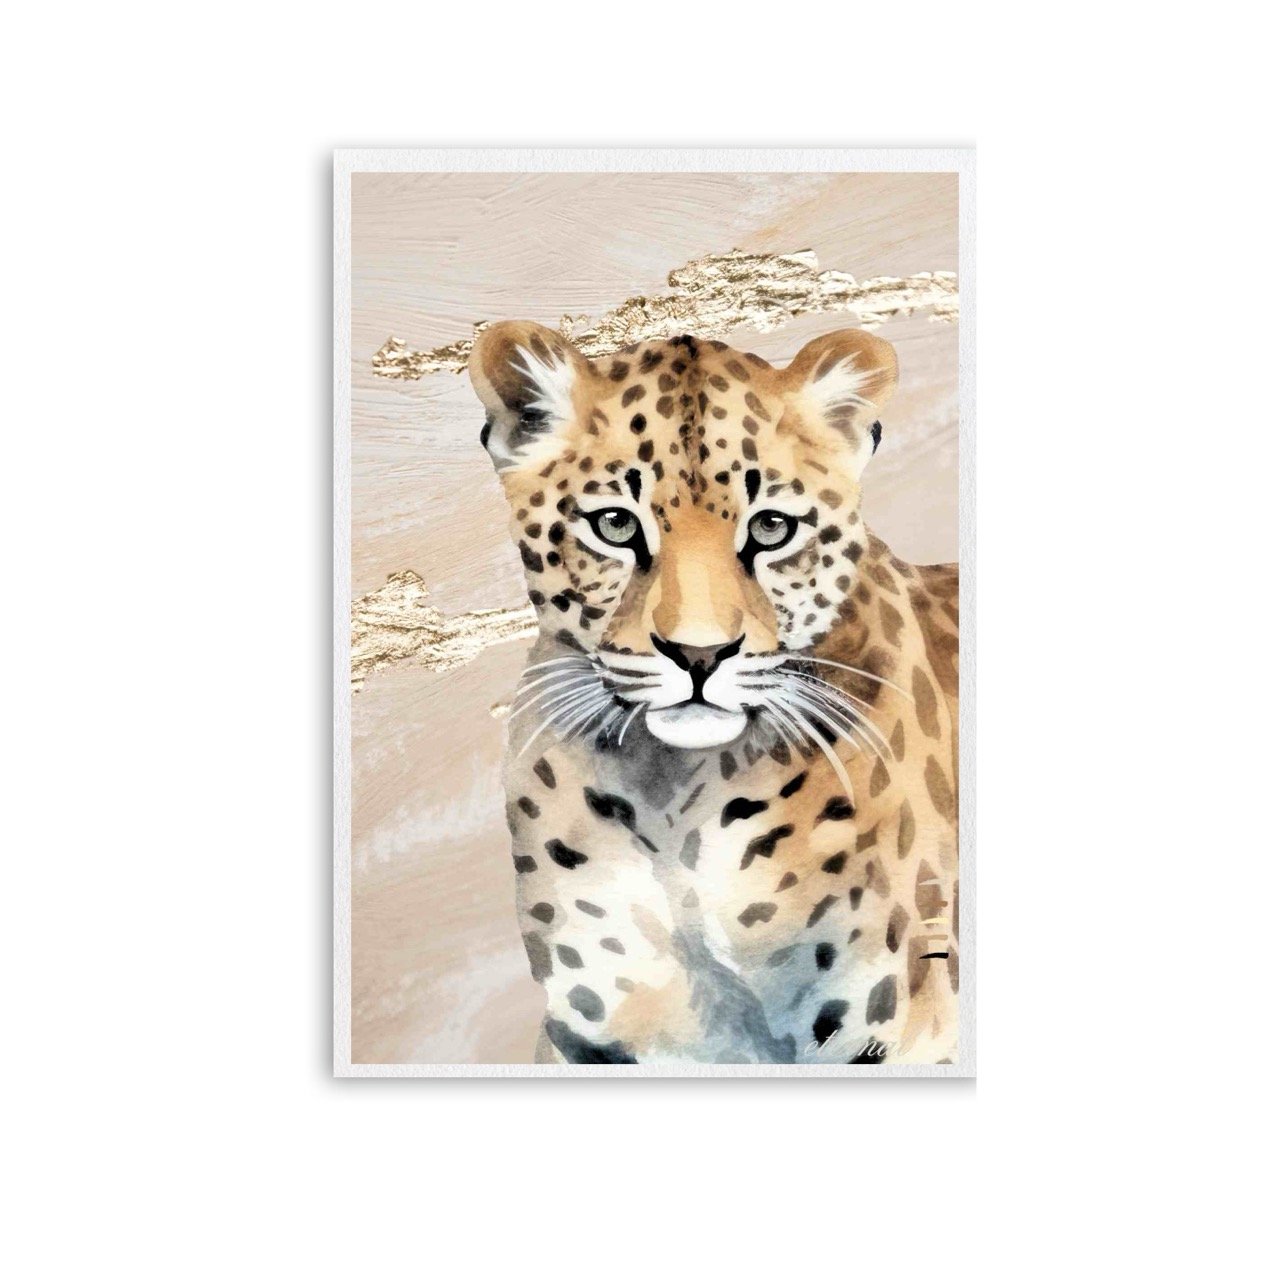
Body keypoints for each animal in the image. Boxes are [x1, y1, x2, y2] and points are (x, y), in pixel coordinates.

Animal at [467, 320, 959, 1066]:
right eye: (615, 525)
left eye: (771, 528)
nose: (699, 654)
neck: (671, 803)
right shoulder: (594, 1036)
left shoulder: (893, 1030)